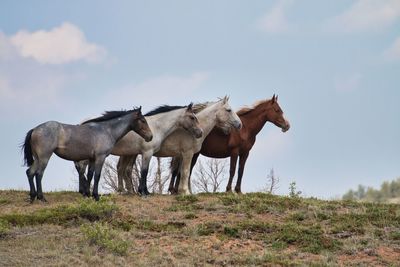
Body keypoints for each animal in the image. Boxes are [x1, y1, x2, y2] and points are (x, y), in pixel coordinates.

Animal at [21, 107, 153, 203]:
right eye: (143, 120)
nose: (150, 137)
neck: (106, 130)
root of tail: (35, 129)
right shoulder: (100, 157)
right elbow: (97, 176)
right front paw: (96, 196)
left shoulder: (92, 159)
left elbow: (89, 175)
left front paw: (88, 195)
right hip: (44, 157)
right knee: (39, 174)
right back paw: (41, 197)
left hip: (37, 158)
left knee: (30, 172)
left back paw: (32, 196)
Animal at [74, 103, 203, 196]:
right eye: (192, 117)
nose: (200, 132)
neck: (157, 126)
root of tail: (81, 123)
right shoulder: (147, 153)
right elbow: (144, 171)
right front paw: (144, 191)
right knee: (82, 169)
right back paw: (85, 191)